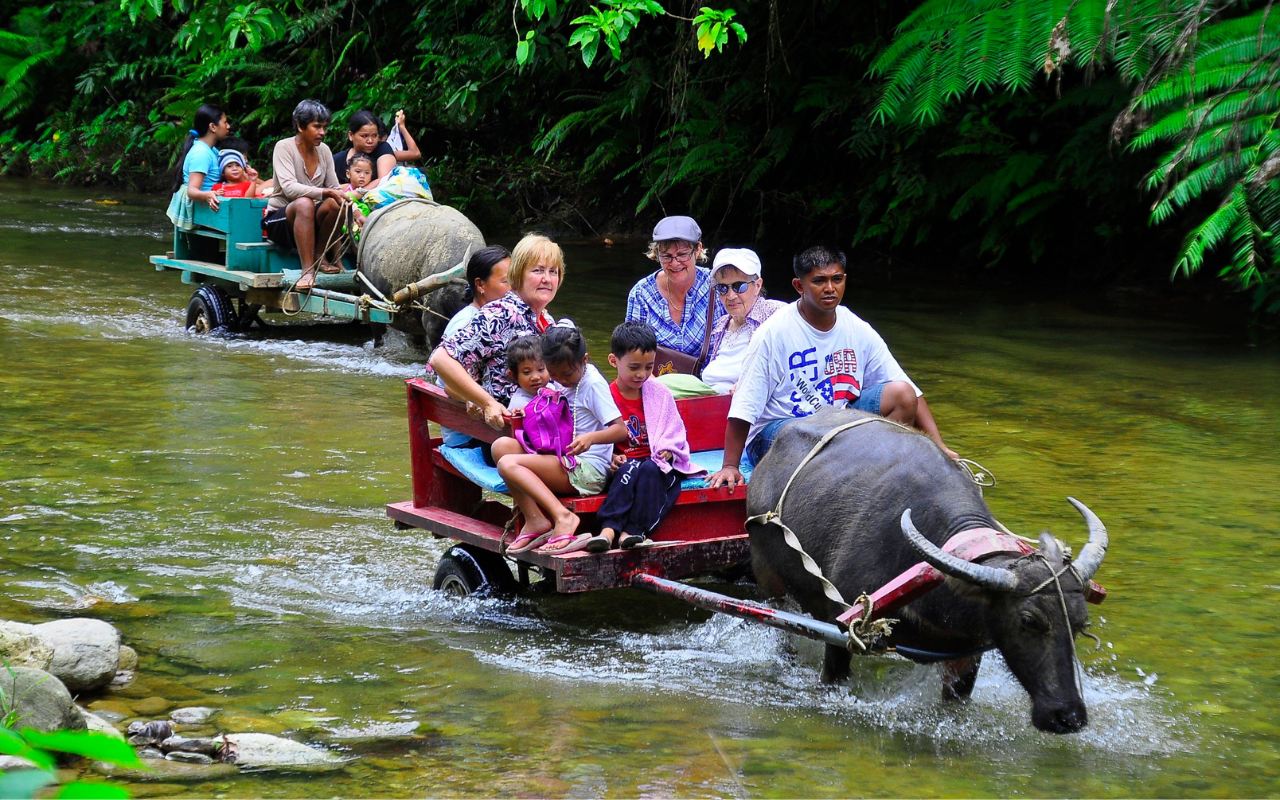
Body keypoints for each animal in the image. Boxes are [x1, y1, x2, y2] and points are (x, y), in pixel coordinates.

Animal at [746, 407, 1109, 733]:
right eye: (1029, 621)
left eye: (1080, 623)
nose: (1068, 717)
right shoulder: (840, 628)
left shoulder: (965, 653)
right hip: (769, 579)